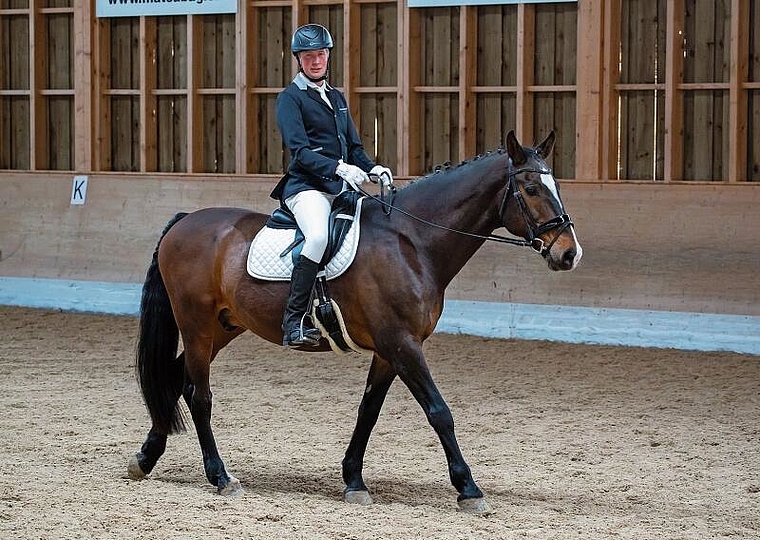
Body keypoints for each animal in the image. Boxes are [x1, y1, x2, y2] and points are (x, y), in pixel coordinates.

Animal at [127, 130, 584, 516]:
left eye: (557, 188)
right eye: (530, 189)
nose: (569, 253)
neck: (411, 242)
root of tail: (185, 220)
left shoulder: (389, 349)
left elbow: (369, 411)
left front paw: (354, 481)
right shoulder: (402, 344)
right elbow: (439, 411)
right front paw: (468, 489)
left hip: (223, 327)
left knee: (175, 378)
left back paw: (146, 458)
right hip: (197, 325)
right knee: (199, 394)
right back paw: (221, 477)